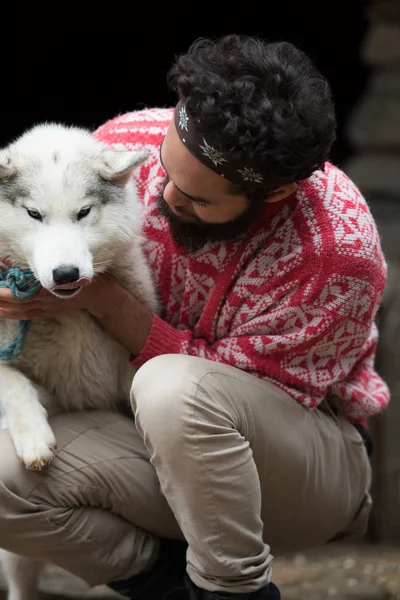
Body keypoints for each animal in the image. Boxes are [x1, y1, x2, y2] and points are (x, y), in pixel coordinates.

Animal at [0, 122, 159, 600]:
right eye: (34, 214)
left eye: (83, 212)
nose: (66, 274)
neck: (63, 310)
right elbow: (13, 382)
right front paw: (34, 438)